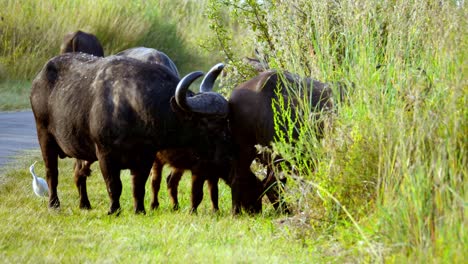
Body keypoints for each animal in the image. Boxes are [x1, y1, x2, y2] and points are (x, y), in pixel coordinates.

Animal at [29, 53, 229, 214]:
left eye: (226, 121)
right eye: (210, 124)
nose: (227, 150)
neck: (133, 106)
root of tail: (39, 78)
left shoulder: (146, 156)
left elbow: (138, 186)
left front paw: (139, 210)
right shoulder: (105, 154)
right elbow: (114, 185)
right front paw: (114, 210)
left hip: (83, 151)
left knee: (78, 173)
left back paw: (84, 204)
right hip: (44, 137)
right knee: (52, 173)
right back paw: (54, 204)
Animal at [229, 70, 334, 214]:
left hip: (246, 151)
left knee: (240, 179)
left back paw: (237, 212)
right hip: (281, 157)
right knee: (271, 184)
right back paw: (286, 211)